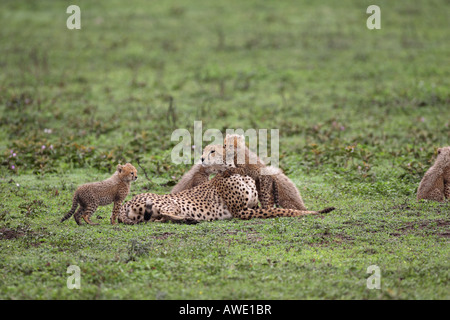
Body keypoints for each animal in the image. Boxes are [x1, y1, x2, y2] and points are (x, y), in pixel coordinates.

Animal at [118, 168, 336, 225]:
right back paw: (190, 219)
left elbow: (280, 209)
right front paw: (321, 211)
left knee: (159, 218)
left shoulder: (252, 207)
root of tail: (126, 203)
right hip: (170, 202)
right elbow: (283, 211)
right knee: (164, 214)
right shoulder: (241, 212)